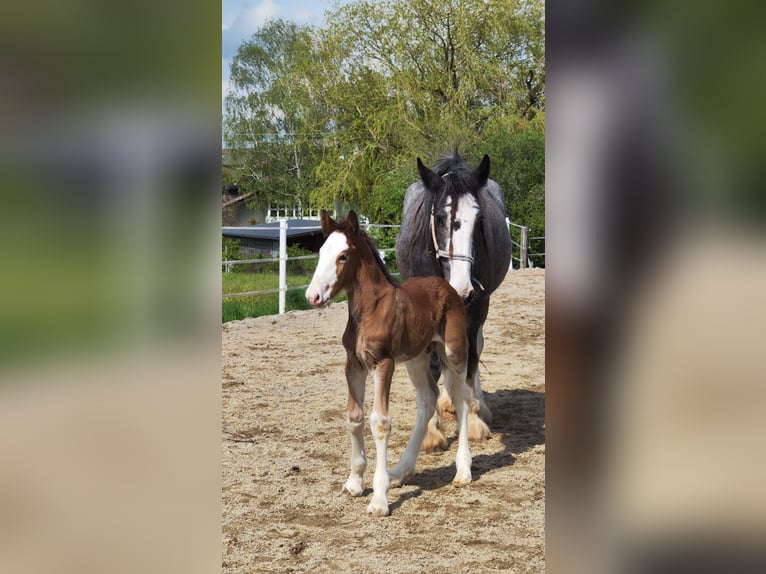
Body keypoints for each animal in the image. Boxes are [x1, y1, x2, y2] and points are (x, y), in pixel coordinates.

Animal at [400, 151, 512, 444]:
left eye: (479, 219)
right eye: (440, 217)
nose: (462, 289)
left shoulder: (476, 309)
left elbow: (470, 360)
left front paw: (472, 419)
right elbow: (434, 366)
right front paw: (431, 430)